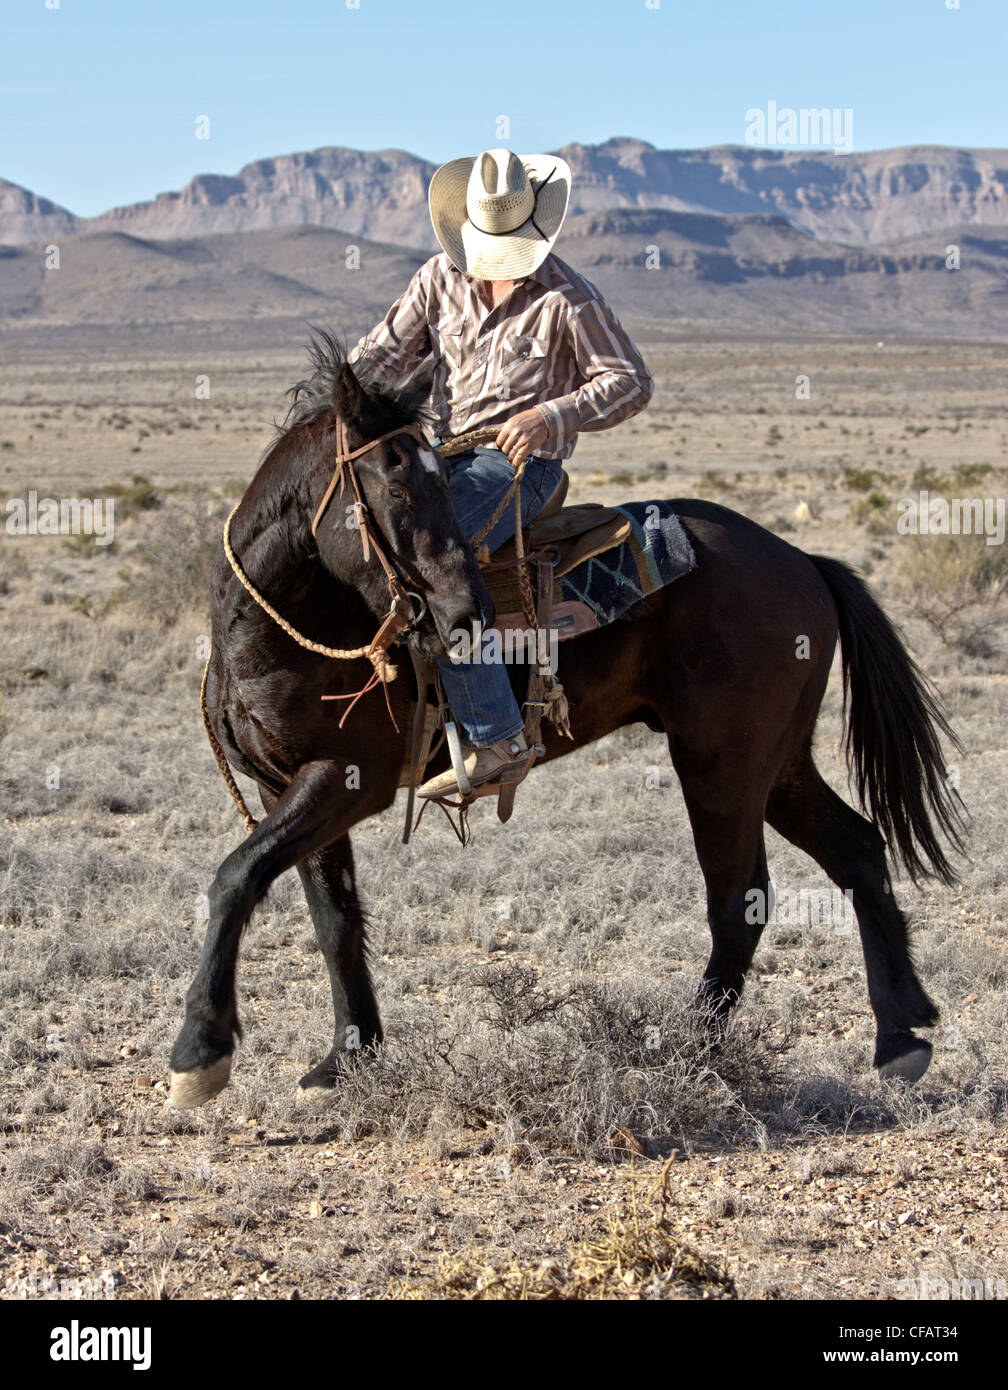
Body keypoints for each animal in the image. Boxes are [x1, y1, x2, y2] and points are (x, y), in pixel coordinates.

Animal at [168, 334, 966, 1108]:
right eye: (395, 486)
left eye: (442, 486)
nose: (467, 615)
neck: (282, 631)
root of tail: (801, 558)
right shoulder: (283, 784)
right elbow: (333, 918)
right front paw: (346, 1059)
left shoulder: (344, 780)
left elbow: (236, 877)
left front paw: (200, 1053)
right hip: (777, 760)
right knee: (857, 848)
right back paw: (900, 1035)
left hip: (721, 762)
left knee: (740, 899)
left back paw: (692, 1051)